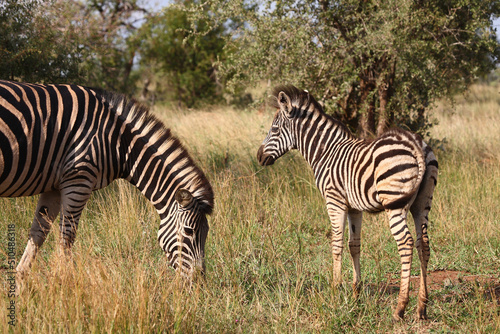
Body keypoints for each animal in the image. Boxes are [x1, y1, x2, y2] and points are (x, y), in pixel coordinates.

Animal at [0, 79, 213, 284]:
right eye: (188, 231)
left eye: (206, 232)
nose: (198, 281)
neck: (117, 142)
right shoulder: (79, 180)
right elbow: (66, 237)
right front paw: (64, 285)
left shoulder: (53, 186)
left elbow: (38, 233)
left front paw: (19, 283)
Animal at [258, 85, 438, 320]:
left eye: (275, 129)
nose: (259, 157)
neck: (325, 152)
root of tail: (414, 143)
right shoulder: (354, 208)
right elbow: (354, 245)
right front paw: (355, 294)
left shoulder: (334, 201)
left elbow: (336, 244)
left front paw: (335, 290)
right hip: (421, 204)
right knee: (422, 243)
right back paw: (421, 307)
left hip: (394, 204)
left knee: (406, 243)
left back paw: (400, 307)